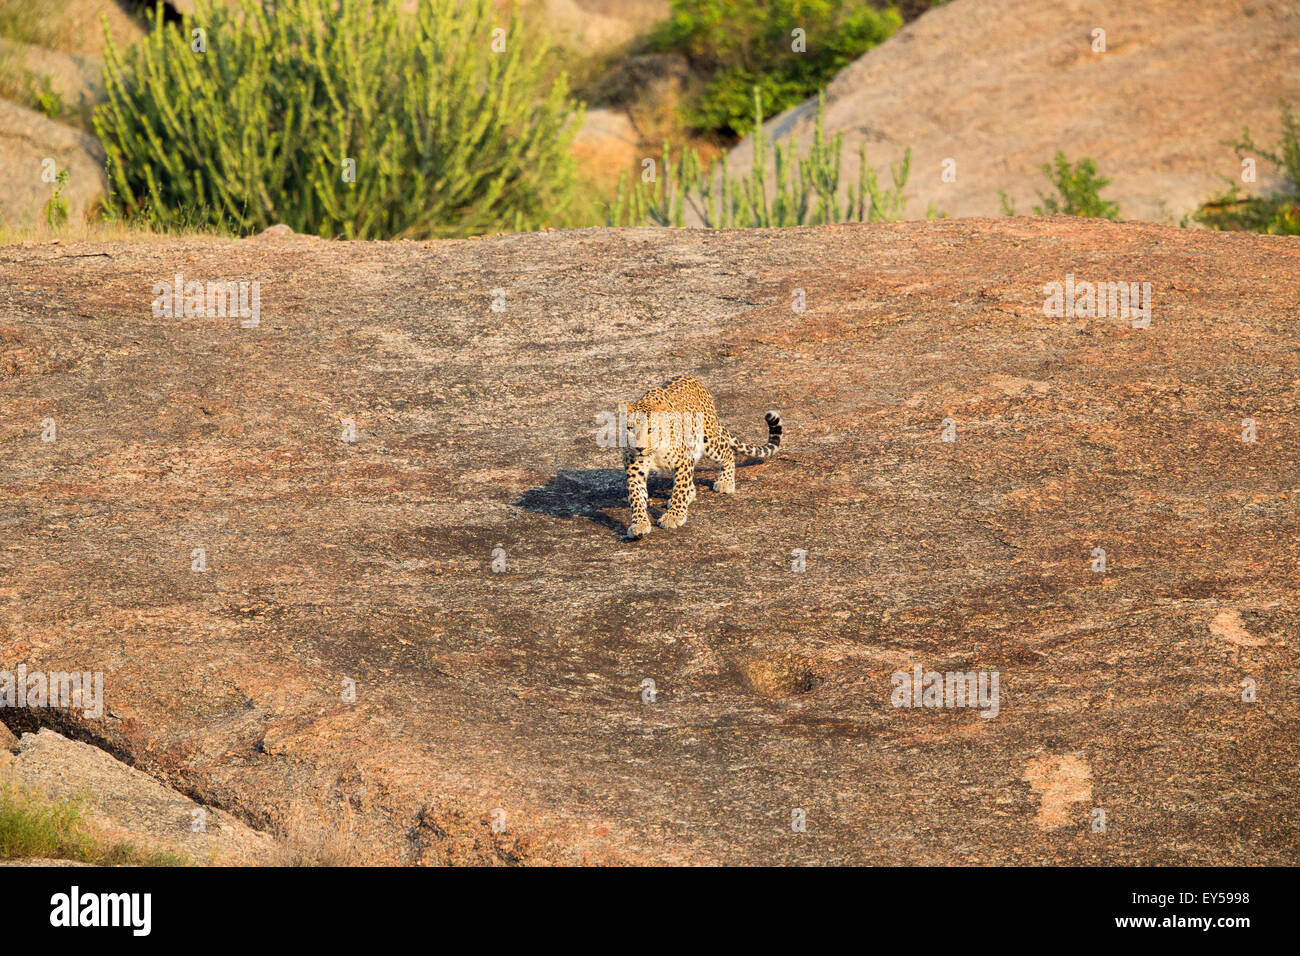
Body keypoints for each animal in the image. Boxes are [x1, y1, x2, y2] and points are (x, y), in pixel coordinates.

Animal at [621, 375, 782, 540]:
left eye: (650, 429)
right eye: (629, 428)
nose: (639, 448)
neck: (654, 451)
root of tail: (694, 380)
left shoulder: (684, 461)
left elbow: (680, 489)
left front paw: (674, 516)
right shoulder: (635, 472)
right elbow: (636, 498)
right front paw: (639, 525)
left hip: (709, 441)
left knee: (727, 451)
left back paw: (725, 482)